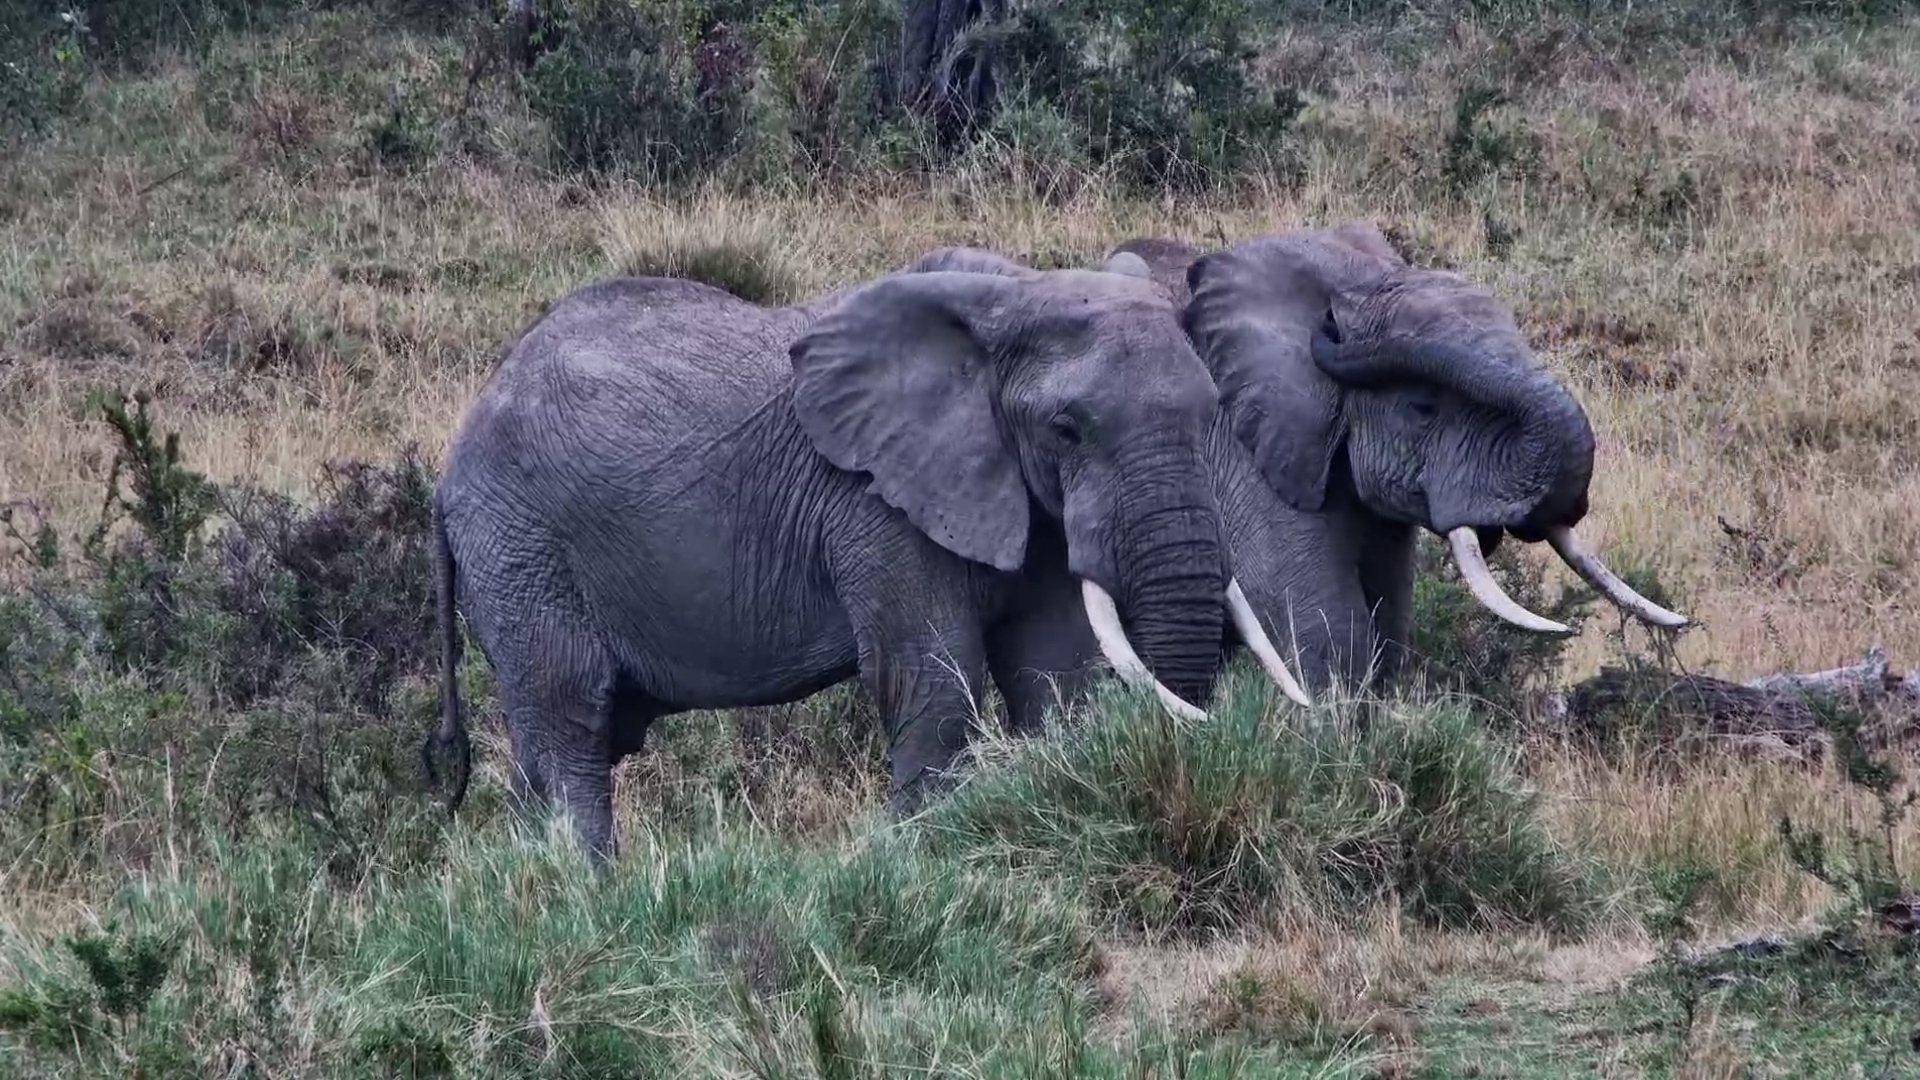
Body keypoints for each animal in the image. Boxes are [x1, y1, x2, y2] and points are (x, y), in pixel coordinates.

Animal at [421, 260, 1312, 861]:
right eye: (1067, 429)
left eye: (1211, 414)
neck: (1010, 297)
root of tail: (448, 466)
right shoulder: (877, 502)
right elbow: (932, 676)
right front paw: (928, 854)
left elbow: (1058, 675)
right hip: (521, 546)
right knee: (570, 720)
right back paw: (588, 893)